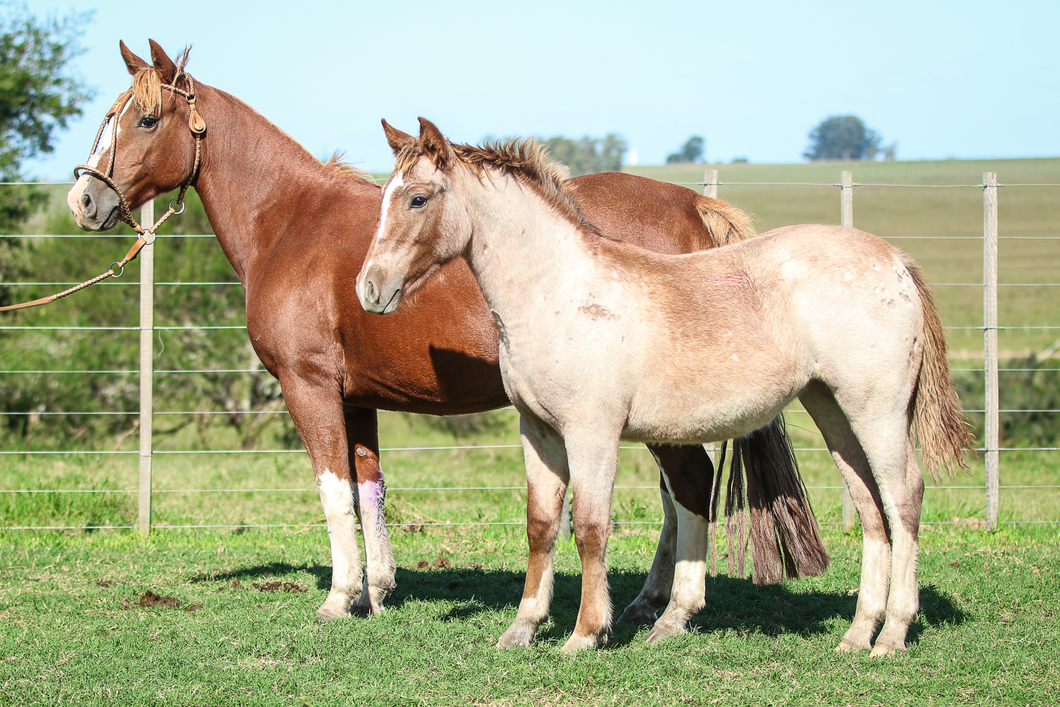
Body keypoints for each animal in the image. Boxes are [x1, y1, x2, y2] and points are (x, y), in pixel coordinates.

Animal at [68, 41, 826, 623]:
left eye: (145, 118)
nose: (84, 197)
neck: (290, 222)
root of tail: (694, 205)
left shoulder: (309, 387)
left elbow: (331, 489)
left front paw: (339, 597)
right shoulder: (357, 397)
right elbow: (367, 487)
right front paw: (375, 590)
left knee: (686, 486)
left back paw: (664, 605)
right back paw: (648, 600)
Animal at [356, 118, 970, 657]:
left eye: (417, 199)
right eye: (383, 197)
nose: (369, 289)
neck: (558, 290)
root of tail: (895, 261)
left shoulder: (593, 432)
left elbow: (592, 528)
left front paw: (586, 633)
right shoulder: (538, 432)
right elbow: (541, 525)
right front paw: (522, 629)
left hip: (878, 411)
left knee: (903, 496)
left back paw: (892, 635)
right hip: (832, 409)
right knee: (870, 504)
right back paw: (857, 635)